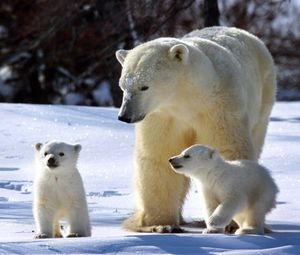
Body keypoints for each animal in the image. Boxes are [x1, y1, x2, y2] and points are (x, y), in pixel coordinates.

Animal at [115, 26, 276, 233]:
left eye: (144, 86)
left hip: (264, 97)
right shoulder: (162, 116)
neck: (187, 99)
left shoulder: (219, 107)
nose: (125, 116)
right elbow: (159, 155)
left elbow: (228, 148)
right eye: (123, 86)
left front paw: (231, 223)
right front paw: (161, 224)